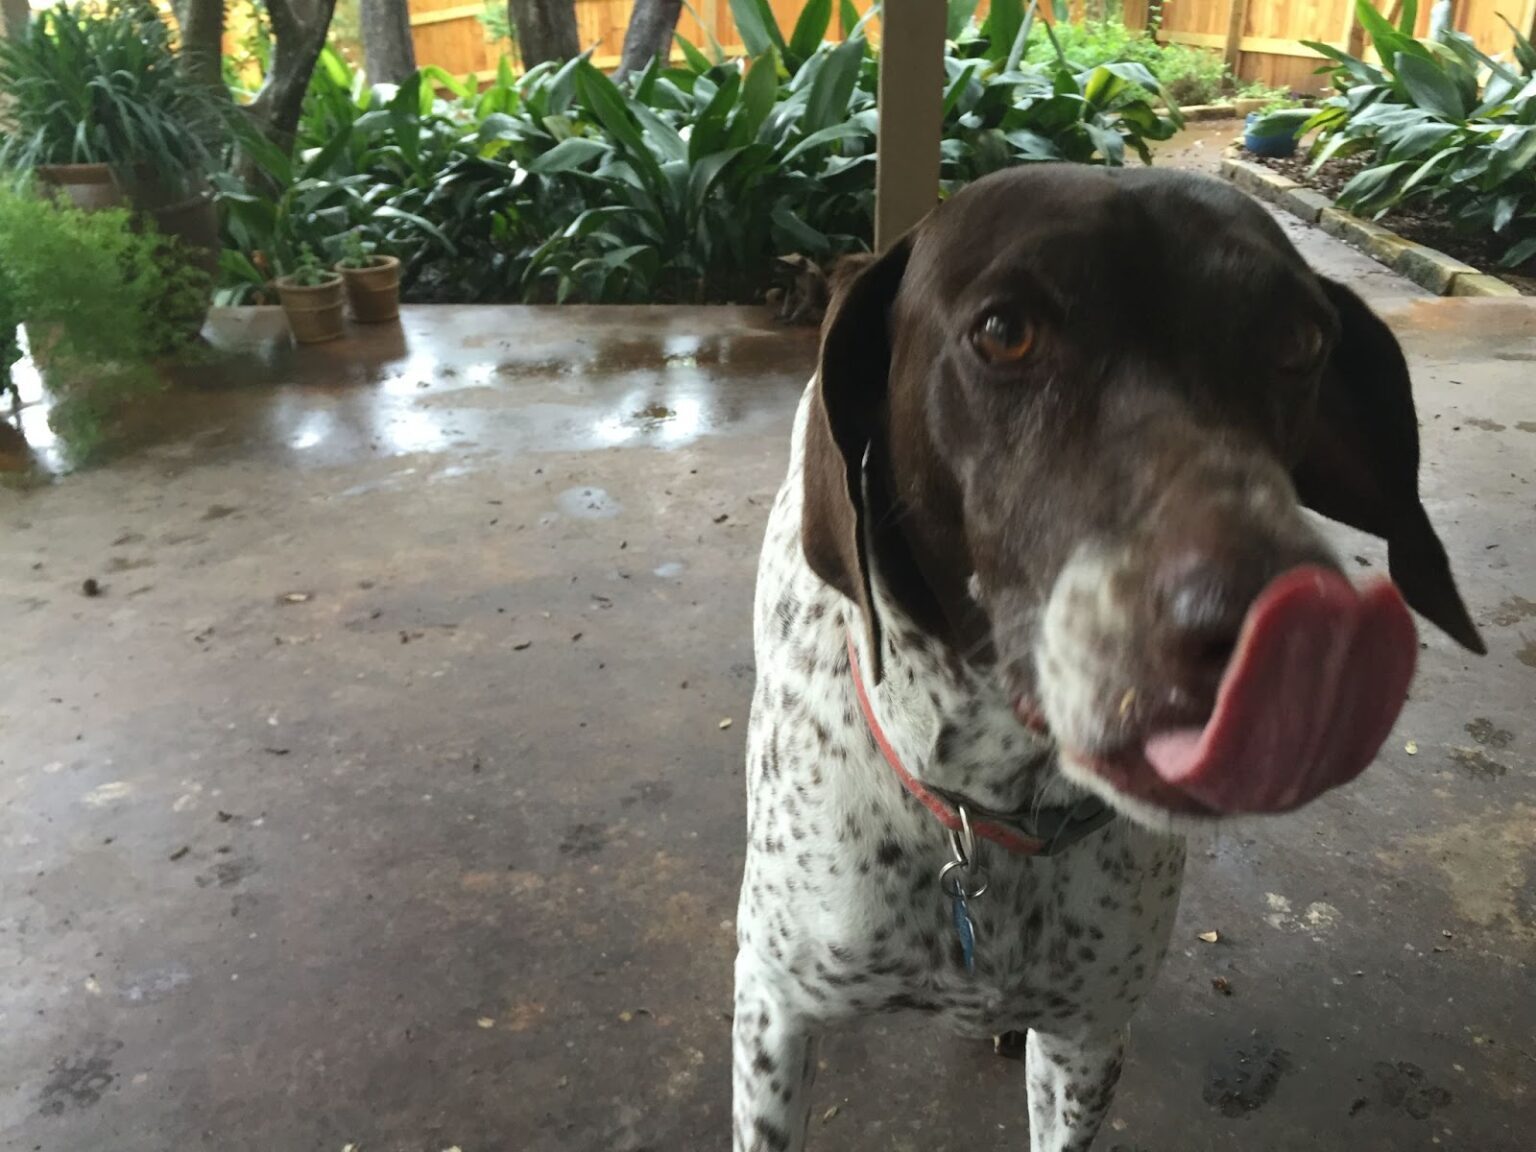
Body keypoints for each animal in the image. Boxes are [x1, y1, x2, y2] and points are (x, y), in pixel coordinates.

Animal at [737, 164, 1480, 1152]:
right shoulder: (771, 1018)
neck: (986, 816)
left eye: (1301, 342)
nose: (1307, 639)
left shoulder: (1087, 1044)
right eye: (1004, 332)